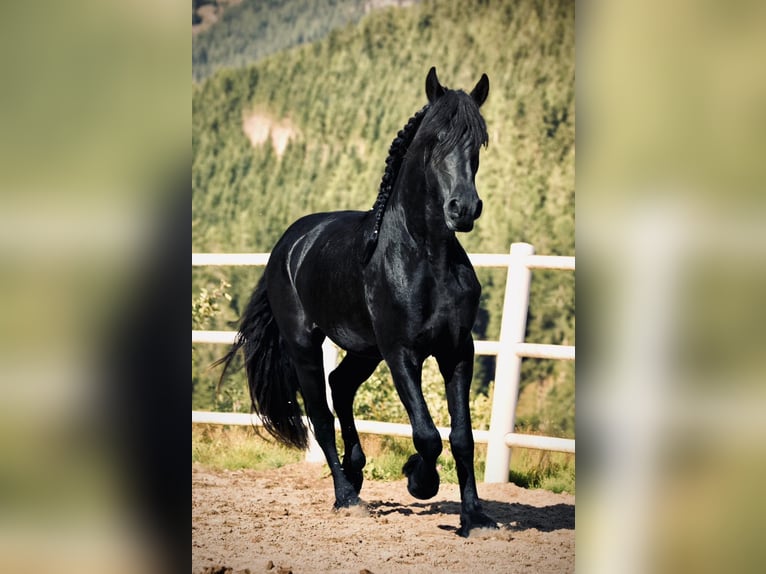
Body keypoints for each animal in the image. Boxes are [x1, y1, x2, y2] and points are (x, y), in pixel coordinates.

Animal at [216, 67, 498, 536]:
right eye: (435, 138)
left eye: (479, 141)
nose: (463, 209)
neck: (425, 258)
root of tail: (290, 243)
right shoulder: (401, 352)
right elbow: (427, 435)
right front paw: (418, 479)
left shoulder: (458, 350)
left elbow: (462, 437)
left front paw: (475, 517)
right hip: (306, 345)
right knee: (320, 414)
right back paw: (347, 497)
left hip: (365, 350)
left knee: (341, 385)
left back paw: (356, 470)